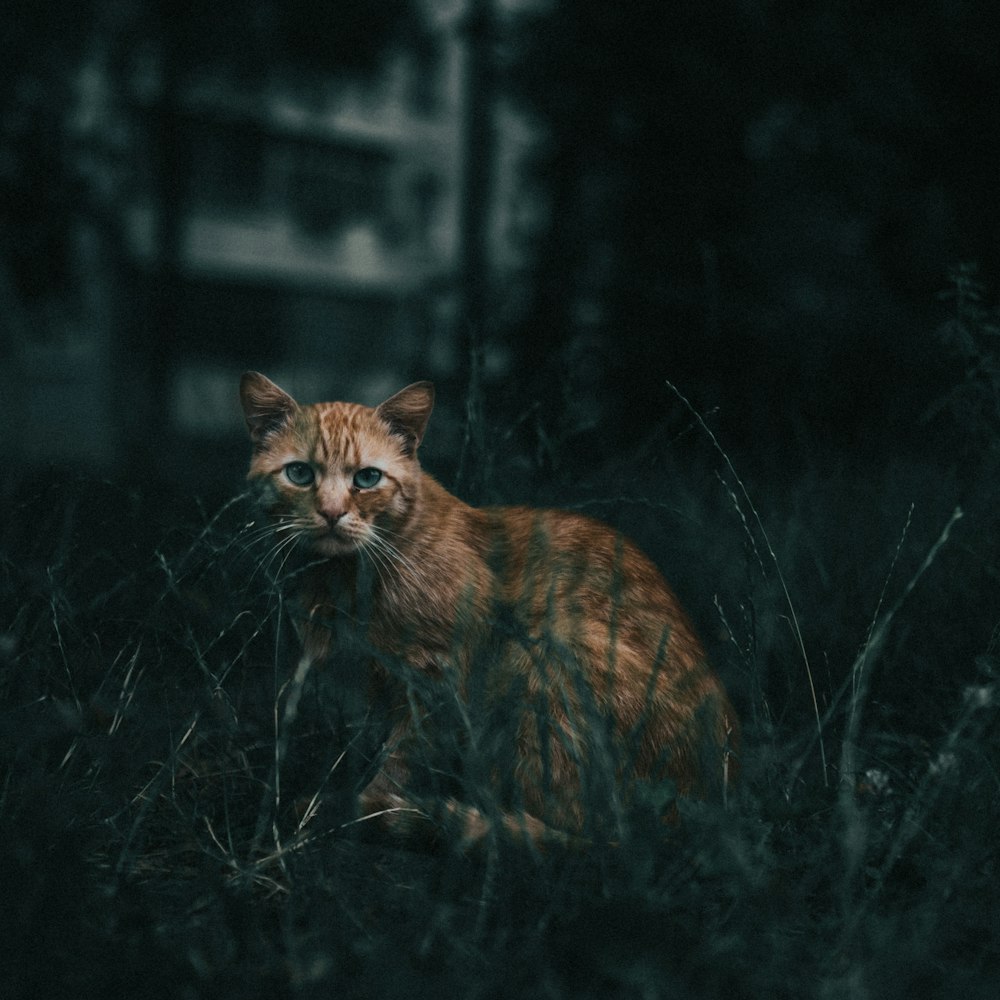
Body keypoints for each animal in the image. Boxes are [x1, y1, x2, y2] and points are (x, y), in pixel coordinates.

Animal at [239, 374, 740, 844]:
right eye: (300, 474)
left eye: (366, 479)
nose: (330, 512)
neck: (350, 577)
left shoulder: (435, 680)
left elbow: (401, 760)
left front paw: (363, 806)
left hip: (541, 657)